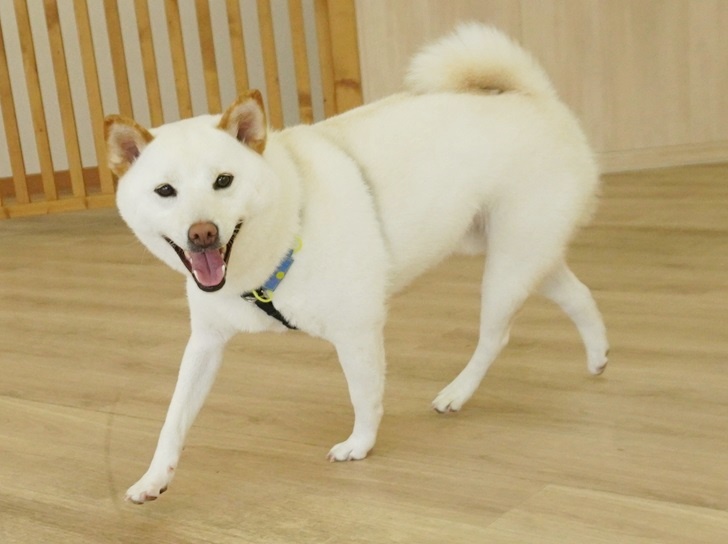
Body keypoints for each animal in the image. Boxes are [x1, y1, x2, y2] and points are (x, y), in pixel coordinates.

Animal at [105, 24, 609, 504]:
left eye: (223, 181)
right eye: (165, 191)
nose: (202, 232)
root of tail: (536, 98)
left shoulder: (356, 329)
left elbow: (364, 396)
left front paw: (360, 446)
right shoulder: (206, 342)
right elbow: (174, 418)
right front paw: (153, 478)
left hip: (507, 268)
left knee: (496, 336)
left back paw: (457, 391)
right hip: (523, 257)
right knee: (578, 295)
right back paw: (598, 354)